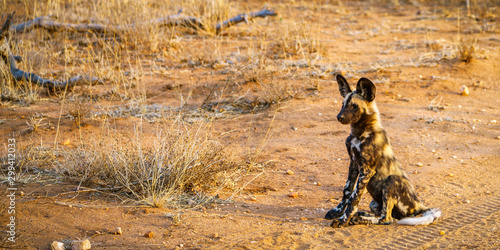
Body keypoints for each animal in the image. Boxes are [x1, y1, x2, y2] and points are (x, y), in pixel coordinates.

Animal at [326, 73, 440, 227]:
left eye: (354, 106)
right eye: (342, 105)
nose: (339, 117)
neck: (359, 133)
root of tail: (419, 206)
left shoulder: (366, 170)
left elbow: (354, 198)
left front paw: (343, 219)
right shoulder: (353, 164)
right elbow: (347, 191)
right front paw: (337, 212)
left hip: (391, 181)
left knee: (386, 218)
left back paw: (359, 219)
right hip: (374, 203)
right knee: (384, 214)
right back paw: (360, 216)